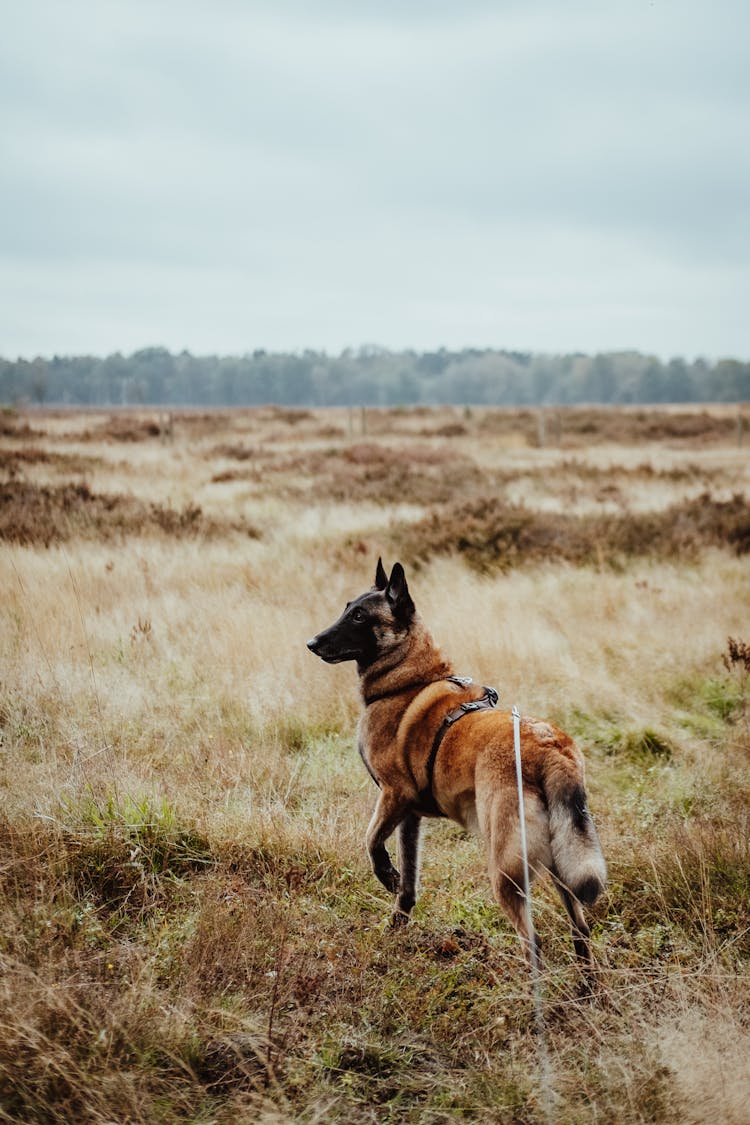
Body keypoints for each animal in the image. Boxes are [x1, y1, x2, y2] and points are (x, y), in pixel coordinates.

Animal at [308, 558, 607, 972]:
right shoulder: (409, 816)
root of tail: (550, 747)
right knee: (581, 932)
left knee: (534, 941)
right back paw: (585, 986)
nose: (312, 643)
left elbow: (370, 842)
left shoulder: (393, 796)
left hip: (506, 870)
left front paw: (386, 876)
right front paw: (394, 927)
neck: (408, 680)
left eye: (358, 616)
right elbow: (409, 884)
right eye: (347, 607)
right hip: (565, 866)